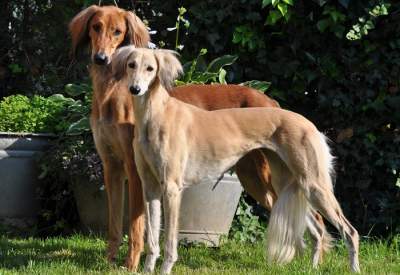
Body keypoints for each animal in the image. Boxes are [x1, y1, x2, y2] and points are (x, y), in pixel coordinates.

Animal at [111, 46, 360, 274]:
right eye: (131, 65)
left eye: (150, 68)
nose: (135, 89)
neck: (155, 115)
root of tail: (309, 124)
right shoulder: (150, 187)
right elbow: (153, 240)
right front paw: (147, 270)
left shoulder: (172, 188)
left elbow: (169, 242)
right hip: (289, 182)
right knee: (318, 229)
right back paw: (313, 268)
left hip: (311, 184)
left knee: (350, 231)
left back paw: (354, 268)